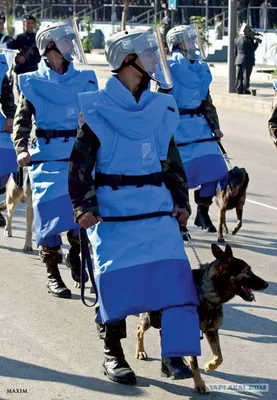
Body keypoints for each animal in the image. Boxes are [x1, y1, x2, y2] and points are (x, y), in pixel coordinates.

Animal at [136, 244, 268, 394]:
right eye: (247, 271)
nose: (266, 284)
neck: (207, 296)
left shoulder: (212, 331)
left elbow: (219, 357)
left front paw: (209, 366)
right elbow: (194, 363)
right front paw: (199, 383)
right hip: (149, 318)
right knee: (139, 330)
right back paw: (140, 351)